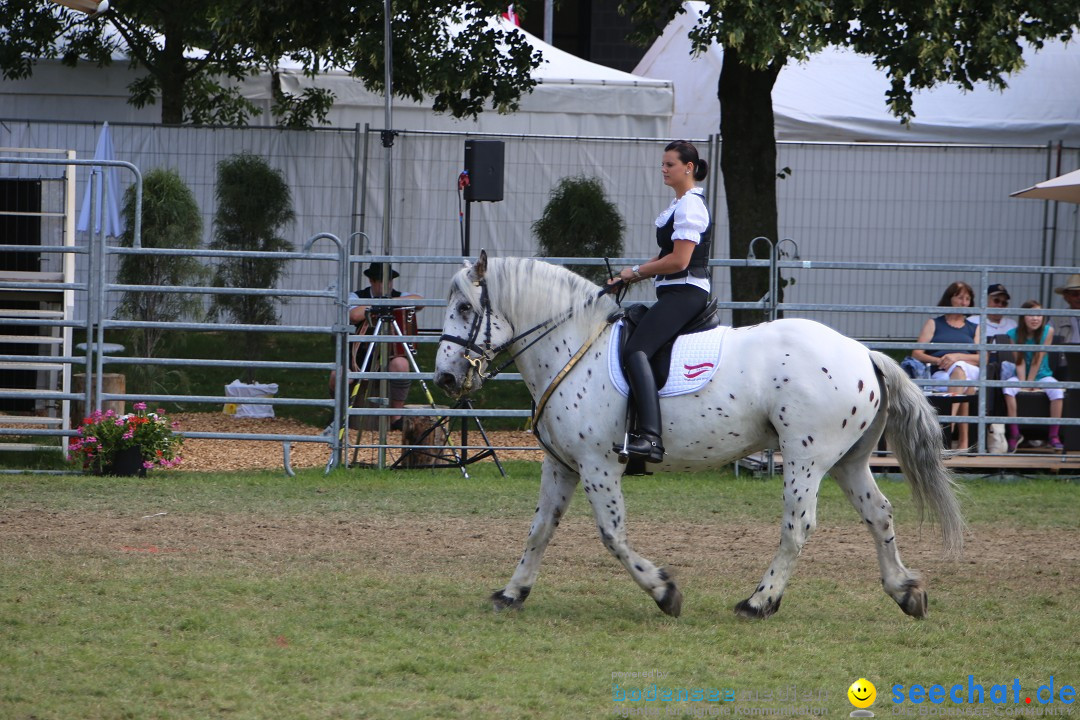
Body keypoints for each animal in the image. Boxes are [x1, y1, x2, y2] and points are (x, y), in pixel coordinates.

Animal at [434, 253, 967, 621]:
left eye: (464, 307)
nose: (444, 378)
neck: (573, 347)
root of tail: (863, 353)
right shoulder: (562, 464)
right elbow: (540, 529)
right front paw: (512, 592)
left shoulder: (597, 464)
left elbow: (612, 535)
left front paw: (664, 591)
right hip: (847, 461)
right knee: (880, 514)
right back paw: (905, 591)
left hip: (807, 459)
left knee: (798, 526)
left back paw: (759, 602)